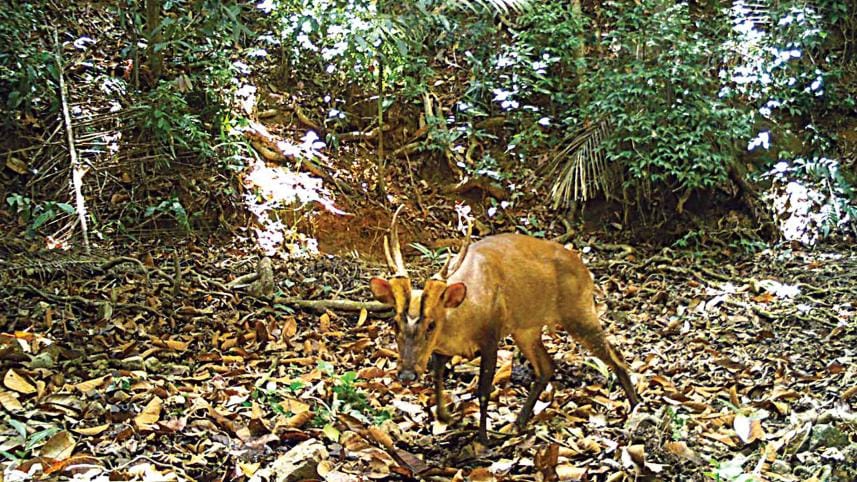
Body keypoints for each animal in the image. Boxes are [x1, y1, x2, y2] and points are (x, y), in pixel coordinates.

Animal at [369, 206, 639, 443]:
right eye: (395, 324)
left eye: (431, 325)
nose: (406, 374)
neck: (462, 318)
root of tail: (585, 269)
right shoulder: (441, 350)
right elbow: (437, 376)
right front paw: (446, 416)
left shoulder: (491, 337)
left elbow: (483, 391)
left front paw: (483, 439)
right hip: (526, 330)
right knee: (547, 367)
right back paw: (518, 422)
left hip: (578, 311)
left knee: (616, 356)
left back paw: (636, 408)